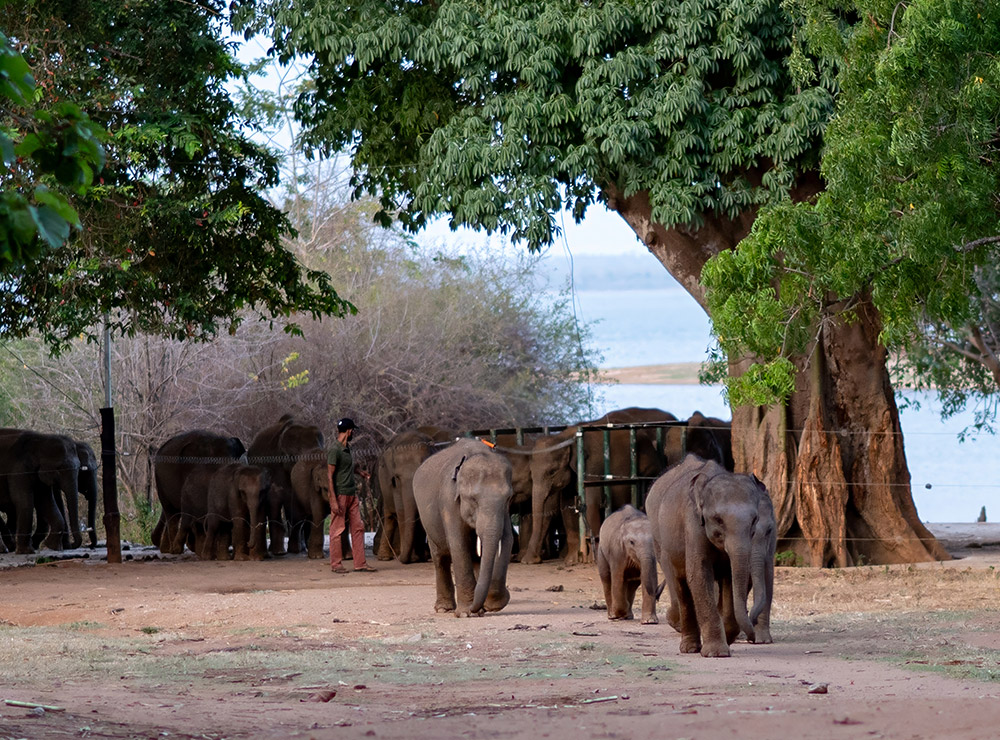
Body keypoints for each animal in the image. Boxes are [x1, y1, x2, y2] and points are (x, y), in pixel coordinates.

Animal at [246, 415, 325, 555]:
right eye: (294, 457)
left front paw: (295, 550)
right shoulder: (275, 465)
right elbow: (276, 499)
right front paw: (280, 552)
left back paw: (301, 548)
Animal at [412, 438, 514, 617]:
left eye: (508, 498)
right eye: (473, 499)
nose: (478, 608)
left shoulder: (504, 511)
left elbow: (507, 540)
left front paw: (490, 606)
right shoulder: (448, 501)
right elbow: (459, 544)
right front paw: (468, 613)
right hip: (428, 520)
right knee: (440, 557)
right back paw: (444, 609)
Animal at [522, 407, 674, 565]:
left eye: (552, 472)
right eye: (531, 473)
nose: (531, 561)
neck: (564, 437)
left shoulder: (592, 464)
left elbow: (591, 501)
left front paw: (590, 560)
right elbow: (567, 505)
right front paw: (571, 560)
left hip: (649, 467)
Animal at [645, 454, 758, 657]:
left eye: (754, 520)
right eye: (718, 520)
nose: (753, 638)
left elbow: (732, 576)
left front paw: (727, 639)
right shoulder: (693, 523)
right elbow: (698, 573)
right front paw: (716, 653)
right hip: (660, 539)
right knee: (680, 583)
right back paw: (689, 648)